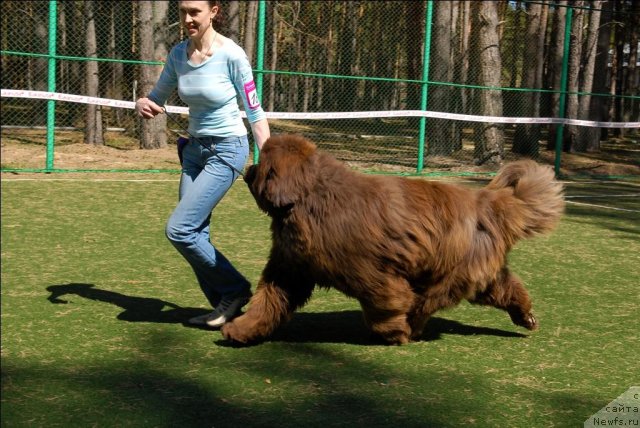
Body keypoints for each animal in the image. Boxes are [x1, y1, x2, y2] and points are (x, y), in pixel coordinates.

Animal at [221, 134, 564, 344]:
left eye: (263, 167)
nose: (248, 170)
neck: (309, 199)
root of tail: (485, 202)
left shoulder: (370, 273)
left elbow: (385, 302)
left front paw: (393, 331)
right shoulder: (289, 269)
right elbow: (268, 301)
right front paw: (241, 329)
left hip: (448, 271)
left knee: (425, 301)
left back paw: (411, 326)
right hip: (478, 271)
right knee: (506, 289)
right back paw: (525, 315)